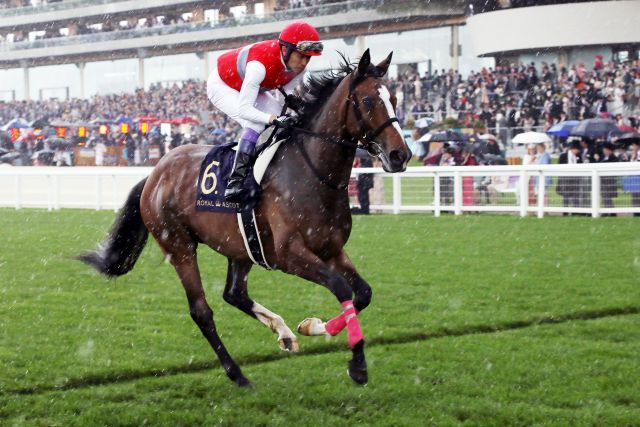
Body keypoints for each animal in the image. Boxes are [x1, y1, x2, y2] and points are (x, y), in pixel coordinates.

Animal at [79, 50, 410, 388]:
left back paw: (284, 333)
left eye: (394, 98)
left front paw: (316, 330)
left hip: (240, 246)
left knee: (234, 293)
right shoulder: (290, 254)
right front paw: (352, 360)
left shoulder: (331, 249)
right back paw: (237, 373)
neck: (312, 173)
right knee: (201, 310)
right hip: (179, 246)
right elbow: (342, 288)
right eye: (368, 101)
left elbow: (363, 293)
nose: (400, 155)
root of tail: (154, 174)